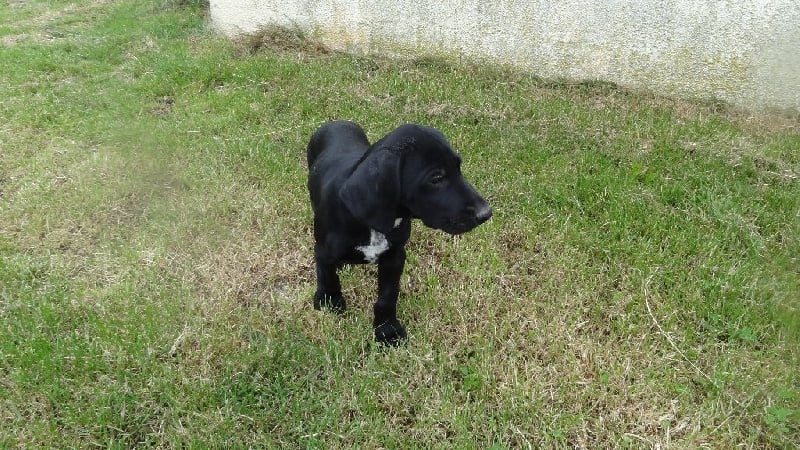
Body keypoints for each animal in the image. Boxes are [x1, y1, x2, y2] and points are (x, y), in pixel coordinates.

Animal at [308, 121, 490, 346]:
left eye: (458, 167)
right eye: (436, 178)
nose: (486, 213)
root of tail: (336, 121)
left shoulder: (394, 257)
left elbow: (387, 296)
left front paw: (387, 330)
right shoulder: (323, 251)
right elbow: (327, 277)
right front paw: (329, 303)